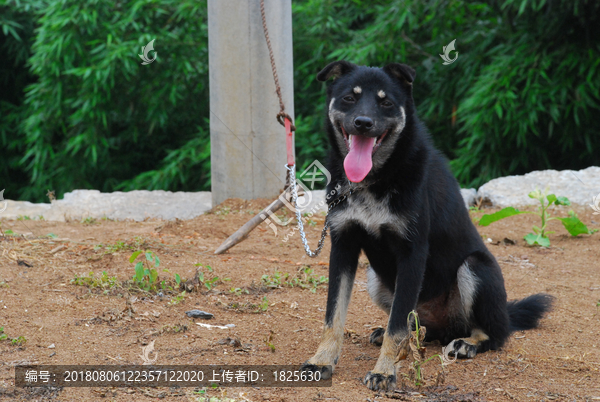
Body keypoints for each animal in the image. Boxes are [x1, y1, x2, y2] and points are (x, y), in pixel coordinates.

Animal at [302, 61, 556, 392]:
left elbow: (396, 326)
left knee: (495, 334)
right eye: (349, 98)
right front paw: (322, 360)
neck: (373, 181)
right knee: (416, 327)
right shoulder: (343, 246)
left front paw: (384, 372)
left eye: (385, 102)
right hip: (376, 280)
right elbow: (334, 316)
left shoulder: (412, 253)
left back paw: (468, 343)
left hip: (475, 267)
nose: (363, 123)